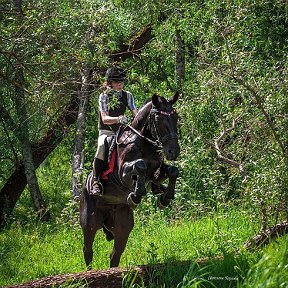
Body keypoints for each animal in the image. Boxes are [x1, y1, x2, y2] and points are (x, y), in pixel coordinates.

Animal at [79, 91, 180, 268]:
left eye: (176, 117)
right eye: (158, 119)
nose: (173, 151)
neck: (144, 143)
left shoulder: (156, 171)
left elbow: (172, 171)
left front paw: (165, 197)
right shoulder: (123, 174)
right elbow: (139, 166)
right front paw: (136, 195)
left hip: (122, 226)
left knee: (115, 255)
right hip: (89, 223)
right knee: (88, 250)